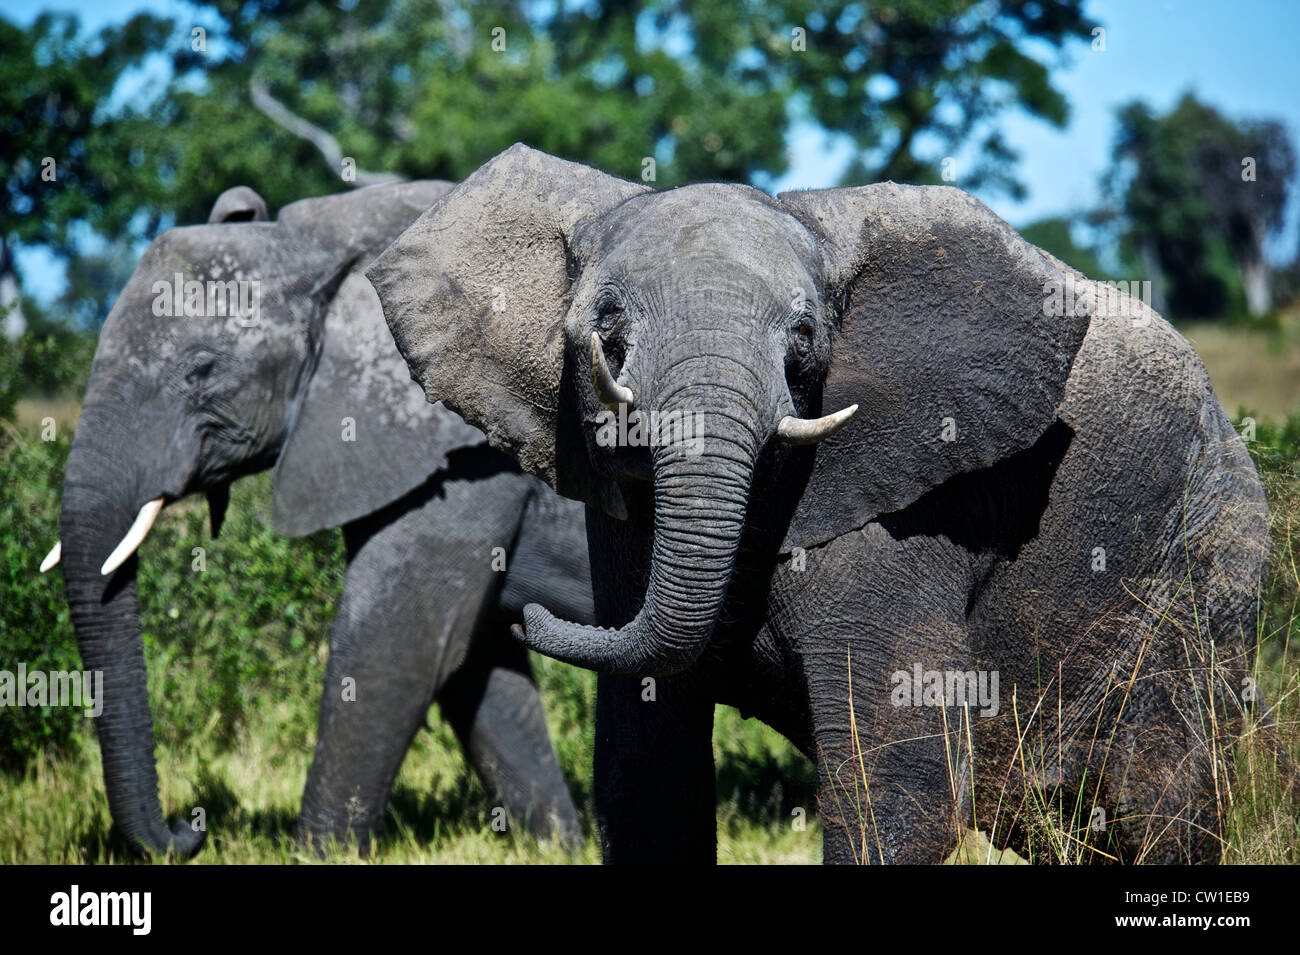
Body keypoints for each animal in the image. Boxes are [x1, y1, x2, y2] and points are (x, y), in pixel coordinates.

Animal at [46, 177, 594, 858]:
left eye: (202, 370)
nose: (190, 827)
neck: (320, 243)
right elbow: (478, 669)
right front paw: (559, 849)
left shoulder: (471, 458)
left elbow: (401, 647)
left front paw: (315, 855)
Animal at [367, 144, 1271, 864]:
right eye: (608, 321)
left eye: (804, 338)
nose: (528, 617)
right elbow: (647, 762)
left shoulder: (921, 510)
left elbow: (899, 777)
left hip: (1204, 557)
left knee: (1164, 797)